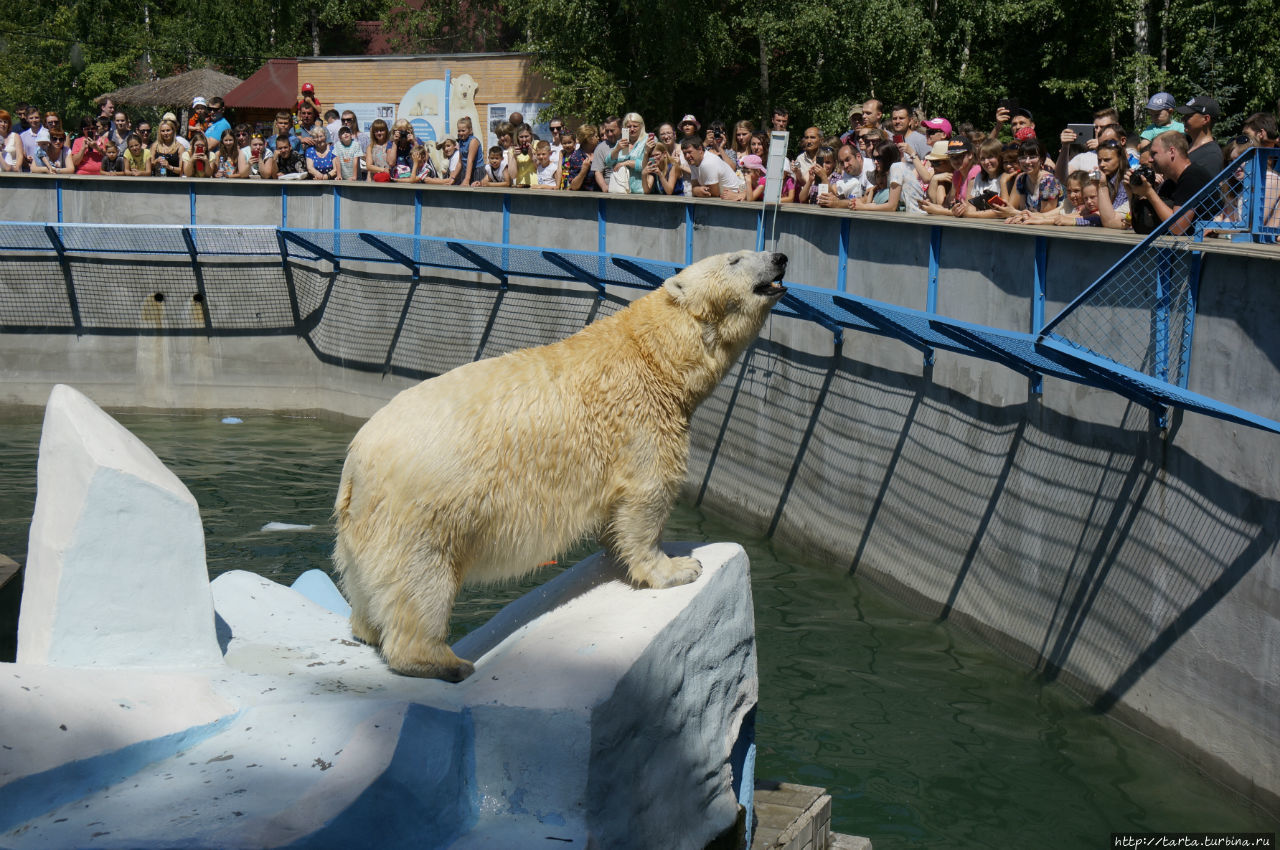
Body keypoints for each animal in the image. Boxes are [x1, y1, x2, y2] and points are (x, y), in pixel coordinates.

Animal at [335, 249, 783, 681]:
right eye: (735, 259)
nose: (779, 258)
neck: (655, 356)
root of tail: (356, 462)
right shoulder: (638, 421)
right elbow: (647, 496)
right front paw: (679, 567)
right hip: (423, 511)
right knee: (422, 583)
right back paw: (443, 662)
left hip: (362, 524)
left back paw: (366, 629)